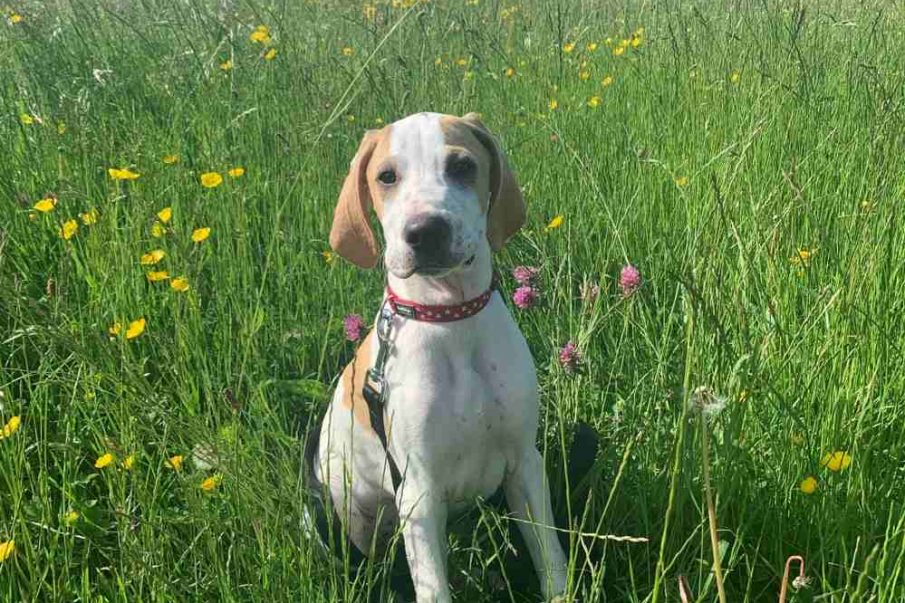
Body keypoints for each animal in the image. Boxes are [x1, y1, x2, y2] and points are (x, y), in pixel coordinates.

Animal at [310, 111, 564, 600]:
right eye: (386, 176)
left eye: (463, 166)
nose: (425, 231)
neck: (450, 318)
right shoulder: (419, 491)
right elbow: (432, 587)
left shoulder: (525, 464)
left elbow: (551, 557)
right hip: (350, 503)